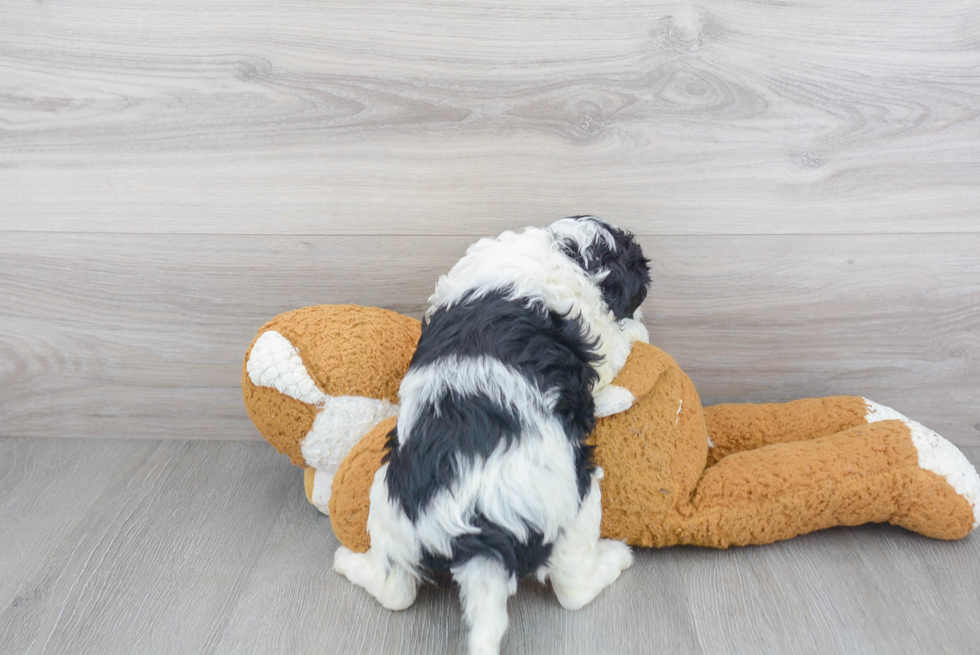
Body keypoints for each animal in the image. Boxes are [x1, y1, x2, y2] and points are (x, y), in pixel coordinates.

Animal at [334, 217, 652, 655]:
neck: (565, 248)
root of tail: (479, 537)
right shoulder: (598, 335)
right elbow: (619, 343)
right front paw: (640, 331)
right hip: (576, 500)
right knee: (574, 588)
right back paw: (616, 557)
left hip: (387, 504)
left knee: (395, 589)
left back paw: (347, 563)